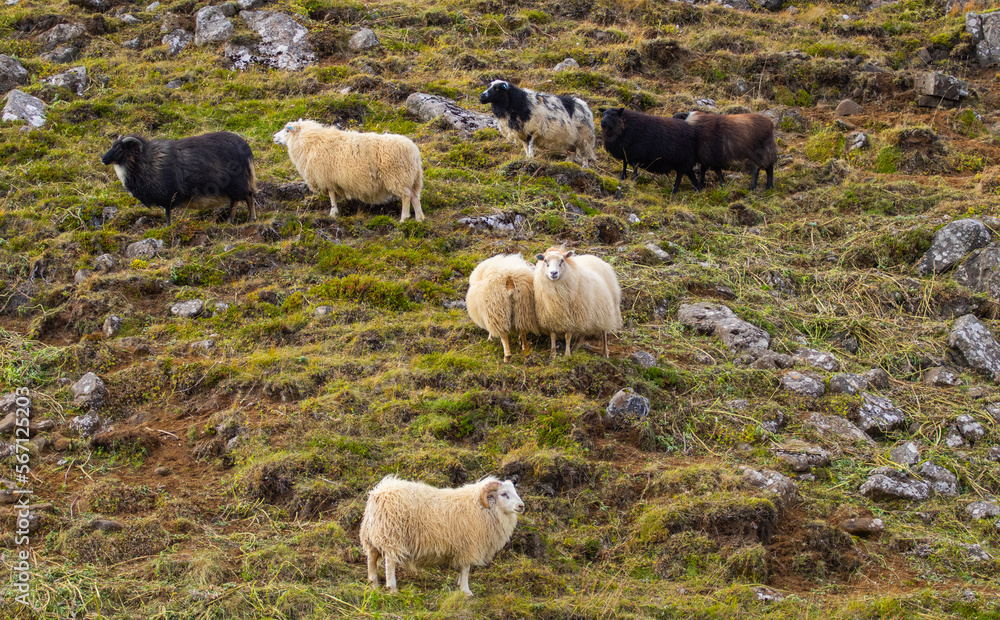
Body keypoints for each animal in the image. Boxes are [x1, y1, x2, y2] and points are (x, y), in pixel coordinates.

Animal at [100, 132, 257, 226]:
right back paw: (231, 220)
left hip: (238, 182)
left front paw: (168, 227)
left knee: (248, 197)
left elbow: (167, 214)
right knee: (236, 200)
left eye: (120, 148)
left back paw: (249, 219)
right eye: (112, 146)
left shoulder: (168, 195)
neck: (143, 161)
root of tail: (245, 148)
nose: (103, 159)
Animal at [272, 119, 425, 222]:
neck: (311, 142)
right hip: (413, 178)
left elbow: (332, 196)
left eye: (287, 130)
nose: (274, 137)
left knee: (406, 197)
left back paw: (404, 218)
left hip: (398, 177)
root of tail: (414, 151)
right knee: (415, 197)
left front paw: (333, 212)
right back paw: (419, 219)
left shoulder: (327, 178)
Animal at [359, 475, 524, 596]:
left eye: (515, 492)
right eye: (504, 494)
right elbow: (466, 568)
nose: (521, 506)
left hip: (373, 536)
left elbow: (463, 569)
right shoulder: (469, 545)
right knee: (390, 562)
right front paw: (466, 591)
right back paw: (392, 588)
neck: (483, 507)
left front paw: (459, 584)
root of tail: (379, 494)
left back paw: (373, 585)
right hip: (392, 536)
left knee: (371, 560)